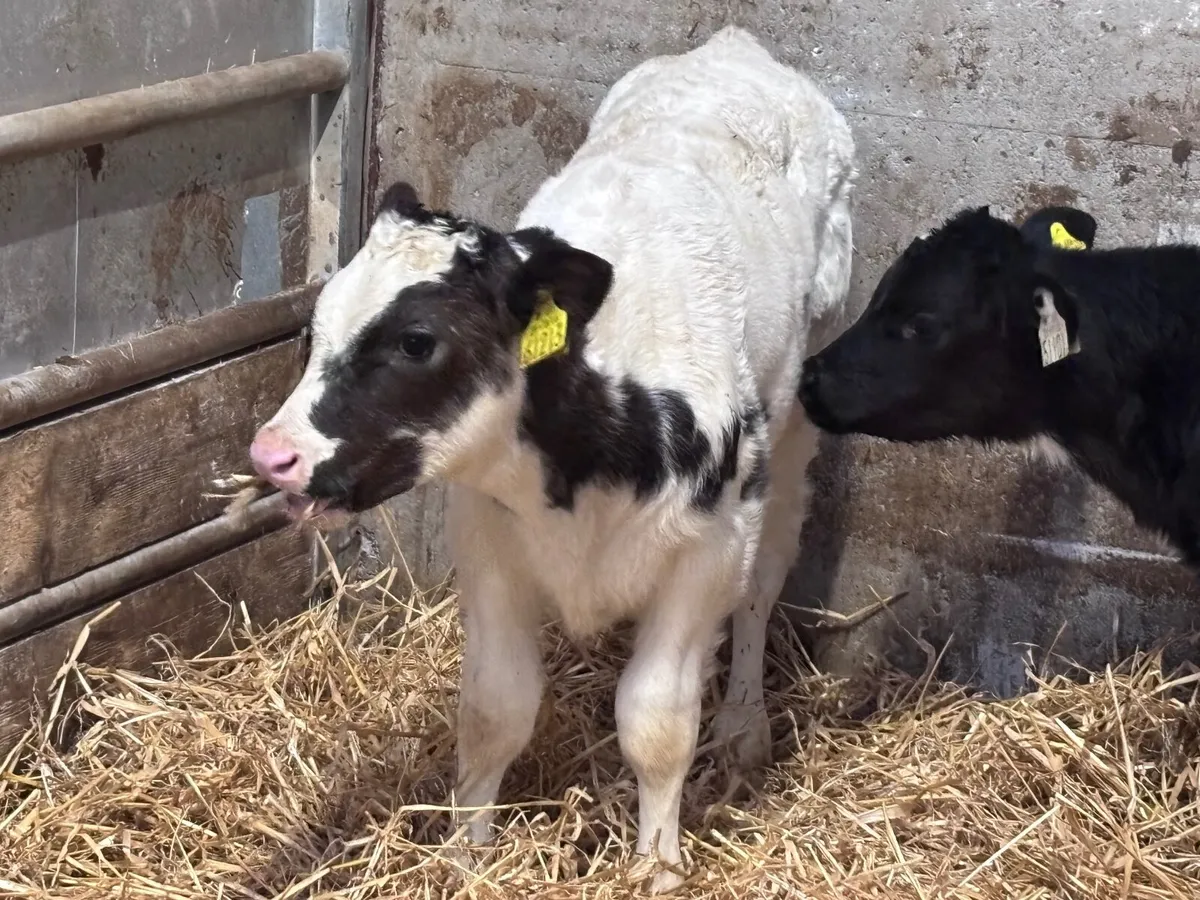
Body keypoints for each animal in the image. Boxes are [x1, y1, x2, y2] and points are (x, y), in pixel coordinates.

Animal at [248, 26, 856, 891]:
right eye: (315, 324)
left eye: (417, 342)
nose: (274, 455)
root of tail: (734, 48)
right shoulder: (489, 542)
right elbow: (495, 709)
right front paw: (466, 858)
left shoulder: (708, 550)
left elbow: (657, 721)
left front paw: (657, 868)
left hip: (798, 418)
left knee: (765, 584)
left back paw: (744, 722)